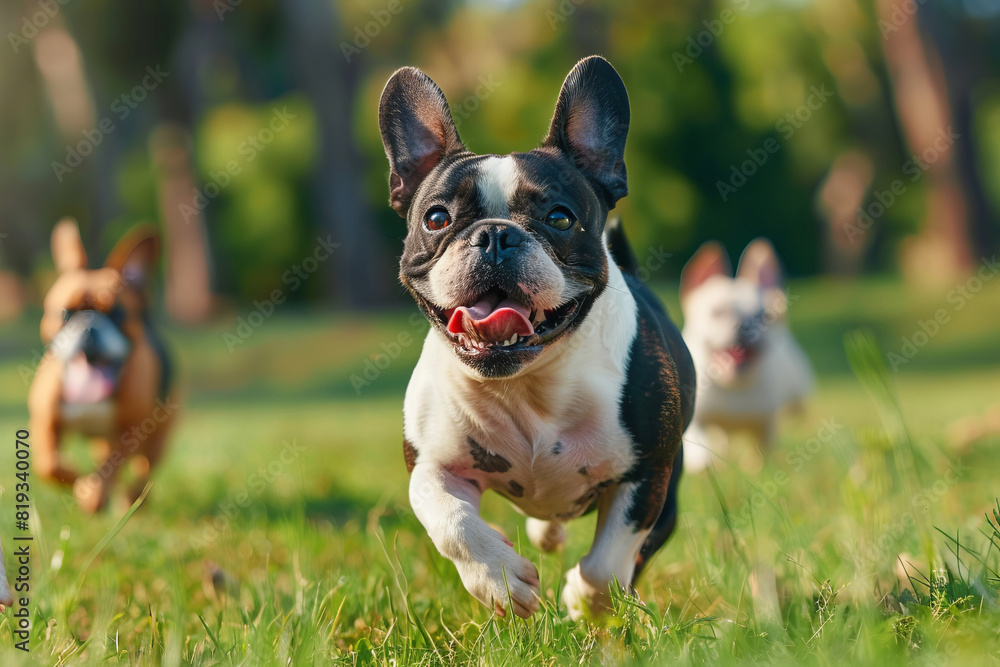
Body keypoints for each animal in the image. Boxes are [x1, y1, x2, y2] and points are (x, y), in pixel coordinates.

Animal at [680, 237, 812, 472]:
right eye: (717, 312)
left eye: (765, 316)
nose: (744, 324)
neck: (734, 386)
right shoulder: (696, 416)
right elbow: (698, 440)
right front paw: (703, 462)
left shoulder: (767, 423)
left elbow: (762, 449)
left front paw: (755, 467)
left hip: (800, 393)